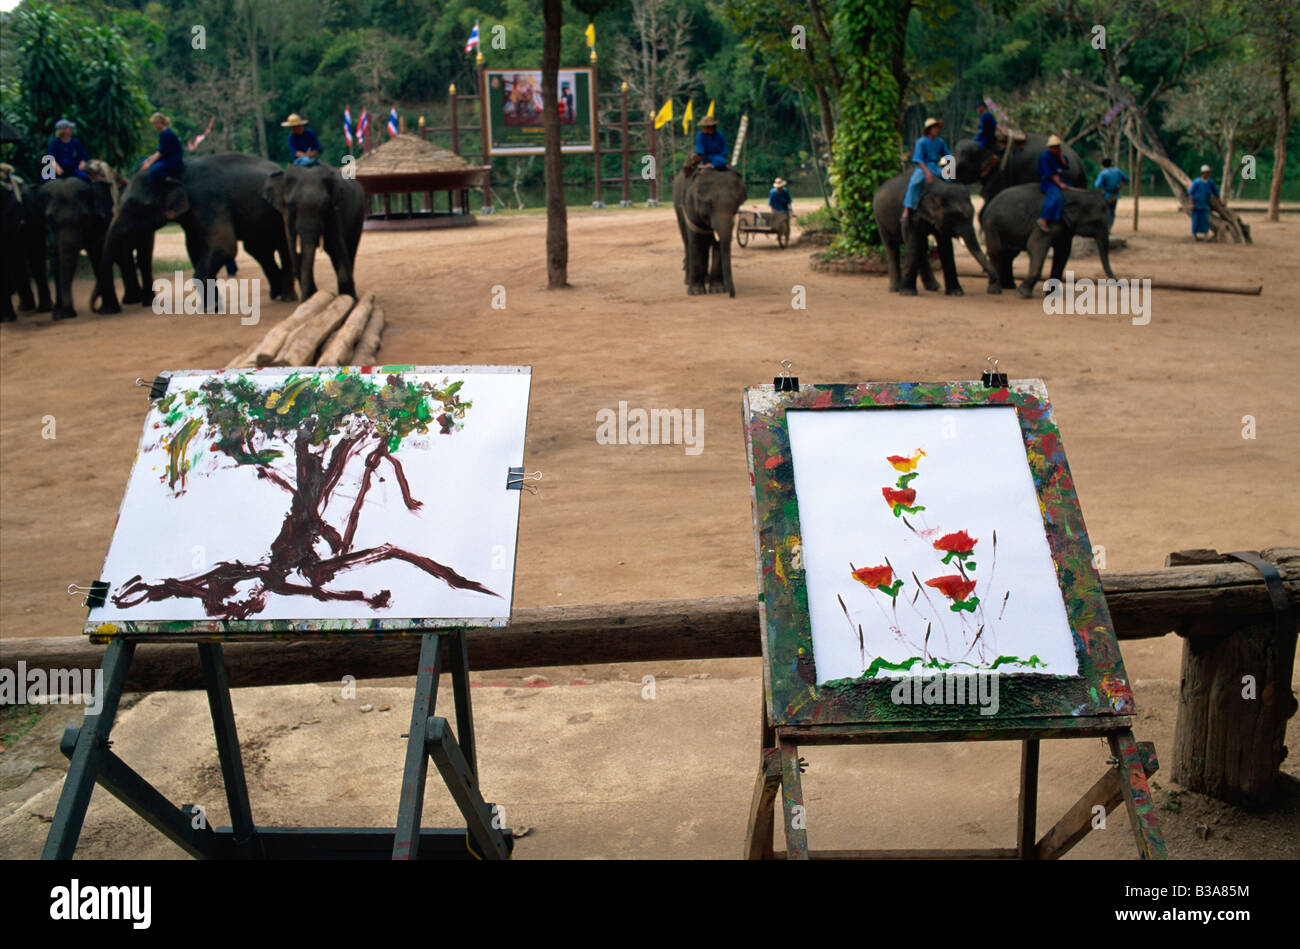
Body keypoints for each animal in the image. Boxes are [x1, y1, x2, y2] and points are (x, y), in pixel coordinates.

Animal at [97, 151, 297, 312]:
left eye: (133, 205)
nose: (107, 309)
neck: (175, 173)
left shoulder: (209, 201)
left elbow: (224, 246)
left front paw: (211, 308)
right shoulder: (192, 216)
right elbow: (194, 248)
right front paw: (209, 307)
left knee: (280, 246)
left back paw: (287, 297)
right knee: (258, 250)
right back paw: (276, 293)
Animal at [258, 160, 364, 297]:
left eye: (324, 206)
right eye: (291, 205)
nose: (305, 298)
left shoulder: (335, 210)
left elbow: (338, 244)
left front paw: (350, 299)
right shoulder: (285, 214)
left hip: (359, 213)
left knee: (349, 247)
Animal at [676, 164, 748, 293]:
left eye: (736, 204)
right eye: (709, 204)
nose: (731, 294)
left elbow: (717, 244)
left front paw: (718, 289)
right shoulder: (690, 207)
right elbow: (695, 240)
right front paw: (696, 292)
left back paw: (705, 279)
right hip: (679, 211)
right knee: (687, 242)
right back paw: (688, 281)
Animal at [977, 179, 1118, 293]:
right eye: (1096, 223)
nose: (1120, 285)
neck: (1075, 193)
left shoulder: (1065, 227)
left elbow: (1063, 252)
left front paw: (1052, 294)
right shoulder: (1047, 221)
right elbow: (1035, 246)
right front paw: (1024, 292)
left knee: (1008, 254)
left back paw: (1009, 287)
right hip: (992, 225)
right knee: (996, 251)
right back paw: (995, 290)